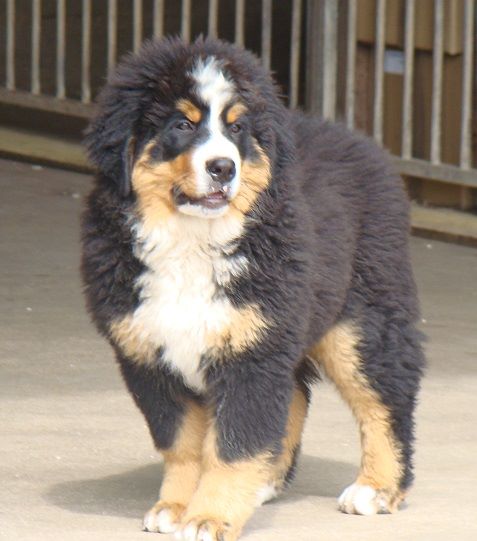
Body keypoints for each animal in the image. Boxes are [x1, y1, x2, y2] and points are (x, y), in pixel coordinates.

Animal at [81, 37, 424, 540]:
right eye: (182, 124)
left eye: (237, 127)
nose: (223, 167)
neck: (190, 242)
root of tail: (357, 139)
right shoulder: (150, 354)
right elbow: (183, 443)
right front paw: (175, 506)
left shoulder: (251, 352)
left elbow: (234, 445)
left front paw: (209, 516)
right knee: (297, 394)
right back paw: (268, 482)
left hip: (362, 319)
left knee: (385, 400)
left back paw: (378, 487)